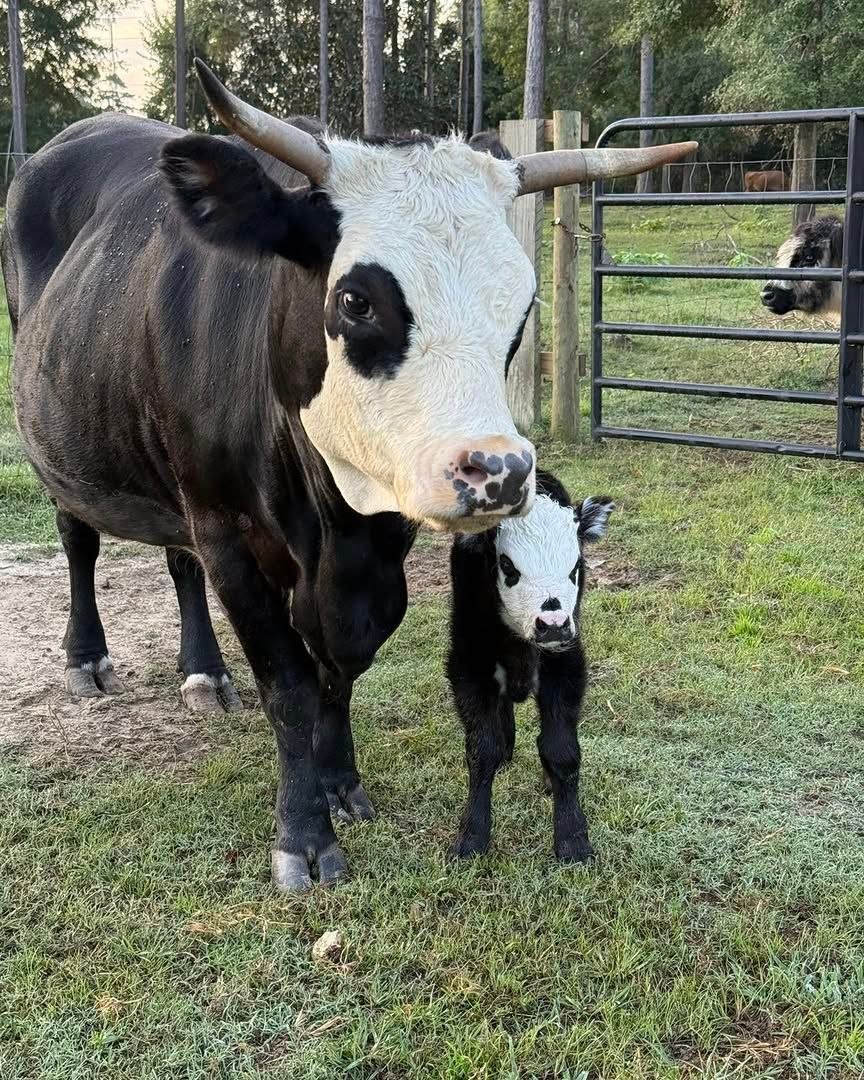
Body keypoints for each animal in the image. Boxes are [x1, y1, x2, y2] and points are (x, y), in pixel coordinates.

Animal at [447, 469, 614, 863]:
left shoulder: (566, 661)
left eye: (576, 567)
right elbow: (482, 749)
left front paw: (572, 839)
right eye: (508, 566)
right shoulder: (467, 665)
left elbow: (562, 749)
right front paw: (471, 837)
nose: (552, 624)